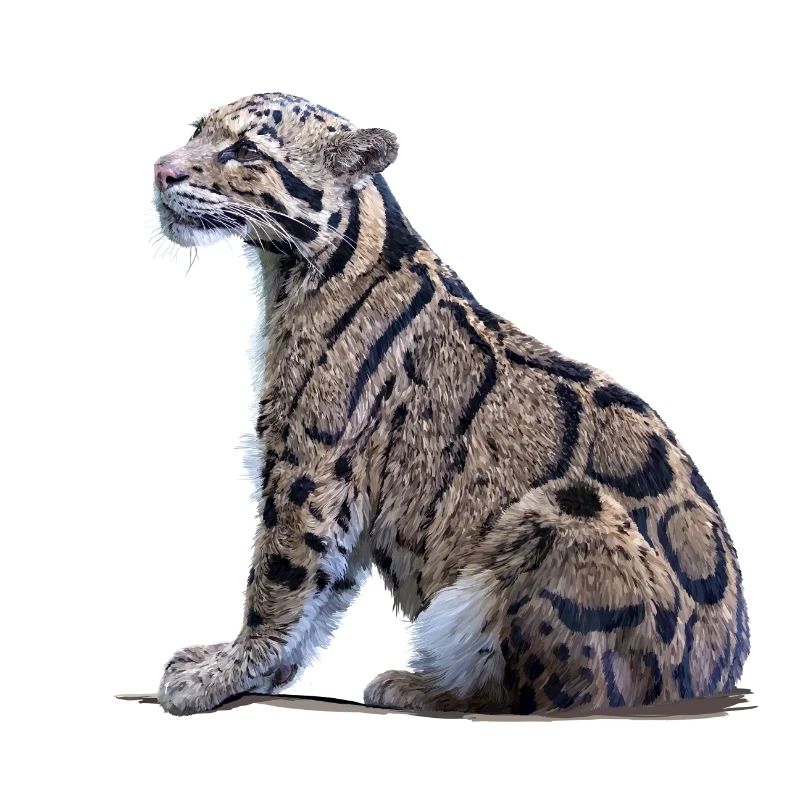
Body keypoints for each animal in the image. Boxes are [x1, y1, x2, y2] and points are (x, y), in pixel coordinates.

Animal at [153, 91, 749, 715]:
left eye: (246, 150)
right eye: (196, 130)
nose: (161, 171)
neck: (287, 274)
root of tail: (718, 673)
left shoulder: (308, 463)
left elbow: (280, 577)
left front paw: (223, 672)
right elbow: (323, 588)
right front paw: (256, 669)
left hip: (570, 511)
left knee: (556, 695)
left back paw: (424, 685)